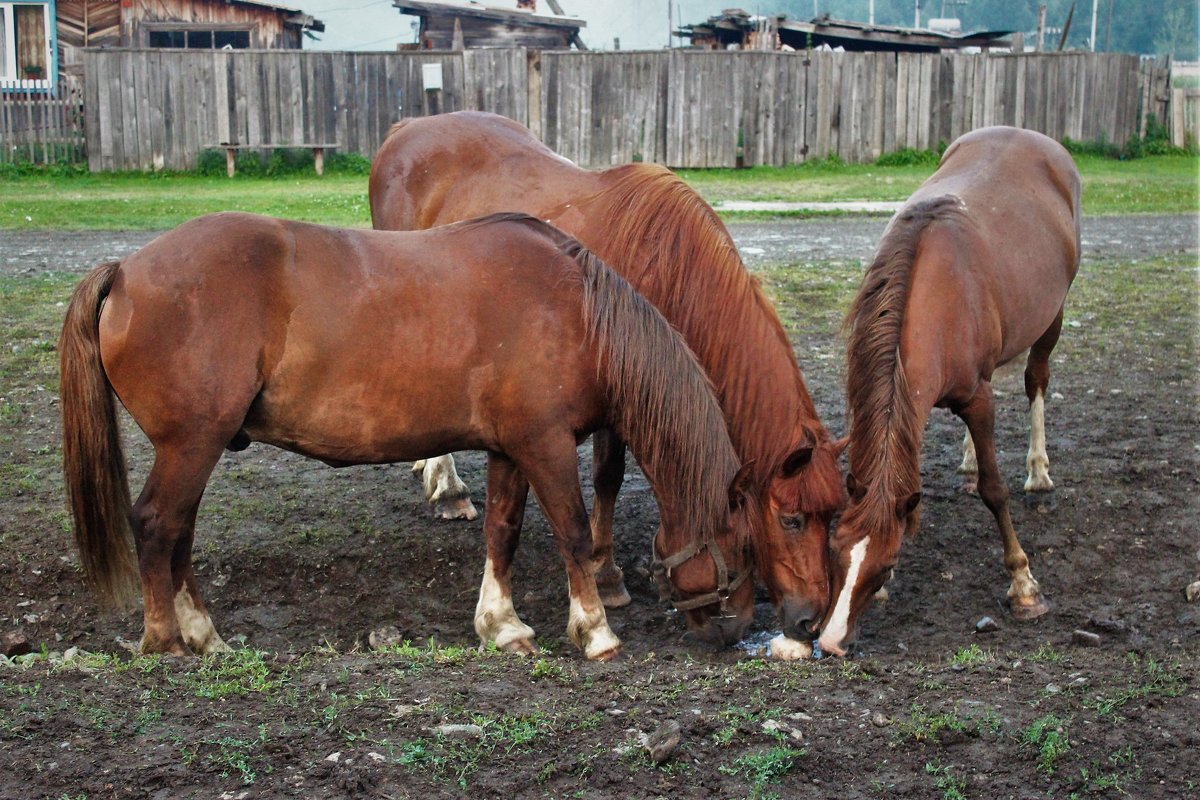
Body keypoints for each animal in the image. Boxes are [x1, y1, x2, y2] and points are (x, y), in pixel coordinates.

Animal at [58, 209, 758, 662]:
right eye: (748, 546)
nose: (737, 632)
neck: (576, 311)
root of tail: (126, 271)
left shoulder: (510, 448)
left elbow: (502, 532)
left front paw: (502, 625)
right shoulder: (547, 444)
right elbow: (575, 533)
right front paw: (596, 631)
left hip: (195, 449)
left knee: (178, 534)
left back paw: (203, 636)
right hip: (191, 445)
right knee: (157, 526)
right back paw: (165, 643)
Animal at [364, 109, 844, 662]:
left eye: (833, 515)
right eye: (789, 518)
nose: (810, 619)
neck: (665, 266)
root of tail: (409, 127)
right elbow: (608, 475)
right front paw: (605, 575)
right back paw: (447, 488)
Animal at [820, 126, 1084, 657]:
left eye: (885, 563)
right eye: (835, 550)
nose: (831, 643)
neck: (937, 297)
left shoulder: (979, 399)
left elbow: (994, 490)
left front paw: (1023, 586)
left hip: (1053, 316)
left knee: (1036, 381)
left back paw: (1038, 470)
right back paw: (969, 456)